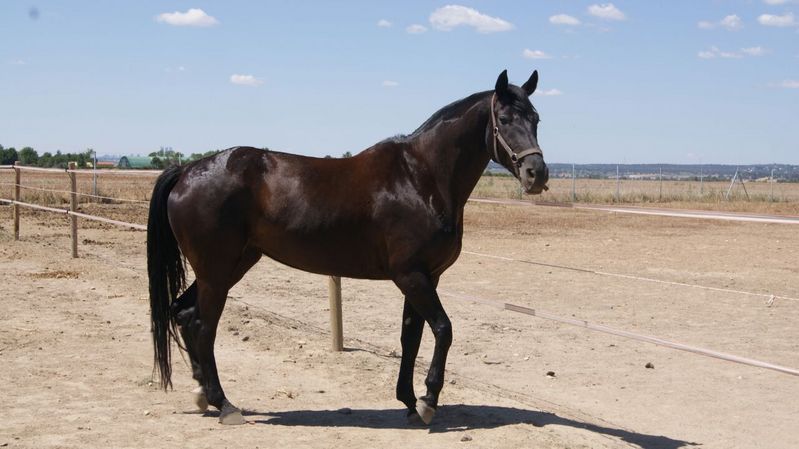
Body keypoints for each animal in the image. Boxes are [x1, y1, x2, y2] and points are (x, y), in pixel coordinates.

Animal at [147, 69, 549, 426]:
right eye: (504, 118)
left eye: (536, 119)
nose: (537, 174)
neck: (420, 179)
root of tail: (186, 172)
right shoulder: (411, 276)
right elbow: (443, 329)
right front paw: (428, 401)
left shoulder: (425, 277)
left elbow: (411, 337)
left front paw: (408, 400)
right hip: (216, 273)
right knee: (203, 326)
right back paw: (225, 404)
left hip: (231, 266)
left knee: (184, 315)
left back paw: (203, 395)